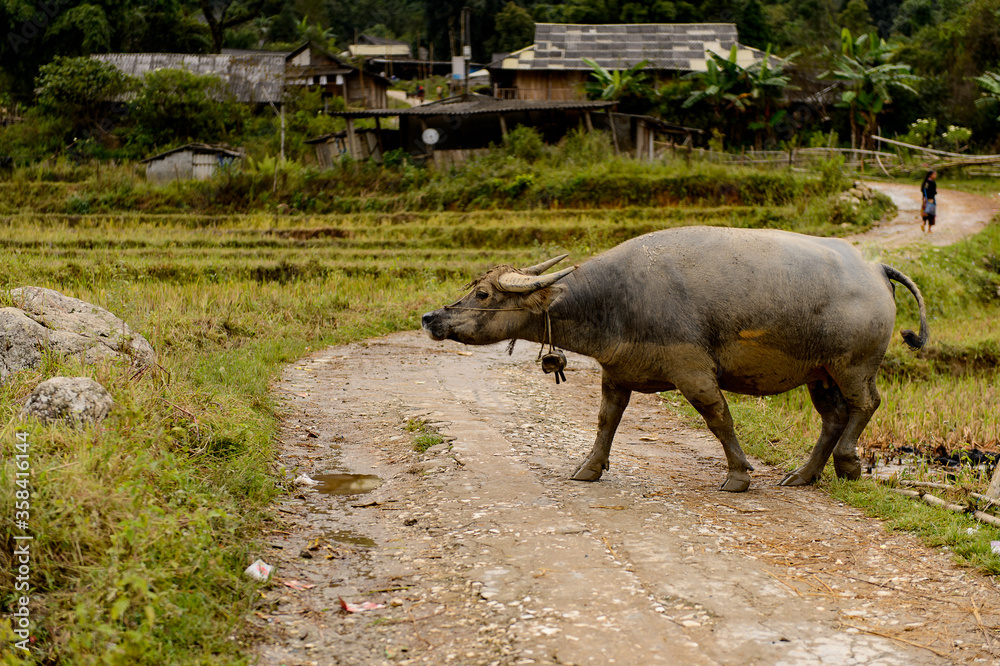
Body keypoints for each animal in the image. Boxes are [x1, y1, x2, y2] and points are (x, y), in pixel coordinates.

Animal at [422, 226, 928, 490]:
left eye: (483, 294)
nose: (431, 317)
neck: (617, 301)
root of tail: (873, 267)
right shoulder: (616, 373)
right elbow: (606, 421)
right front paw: (588, 469)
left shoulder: (693, 372)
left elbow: (718, 418)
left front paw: (738, 475)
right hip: (818, 372)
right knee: (833, 417)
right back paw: (804, 475)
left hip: (853, 365)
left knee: (866, 405)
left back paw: (848, 463)